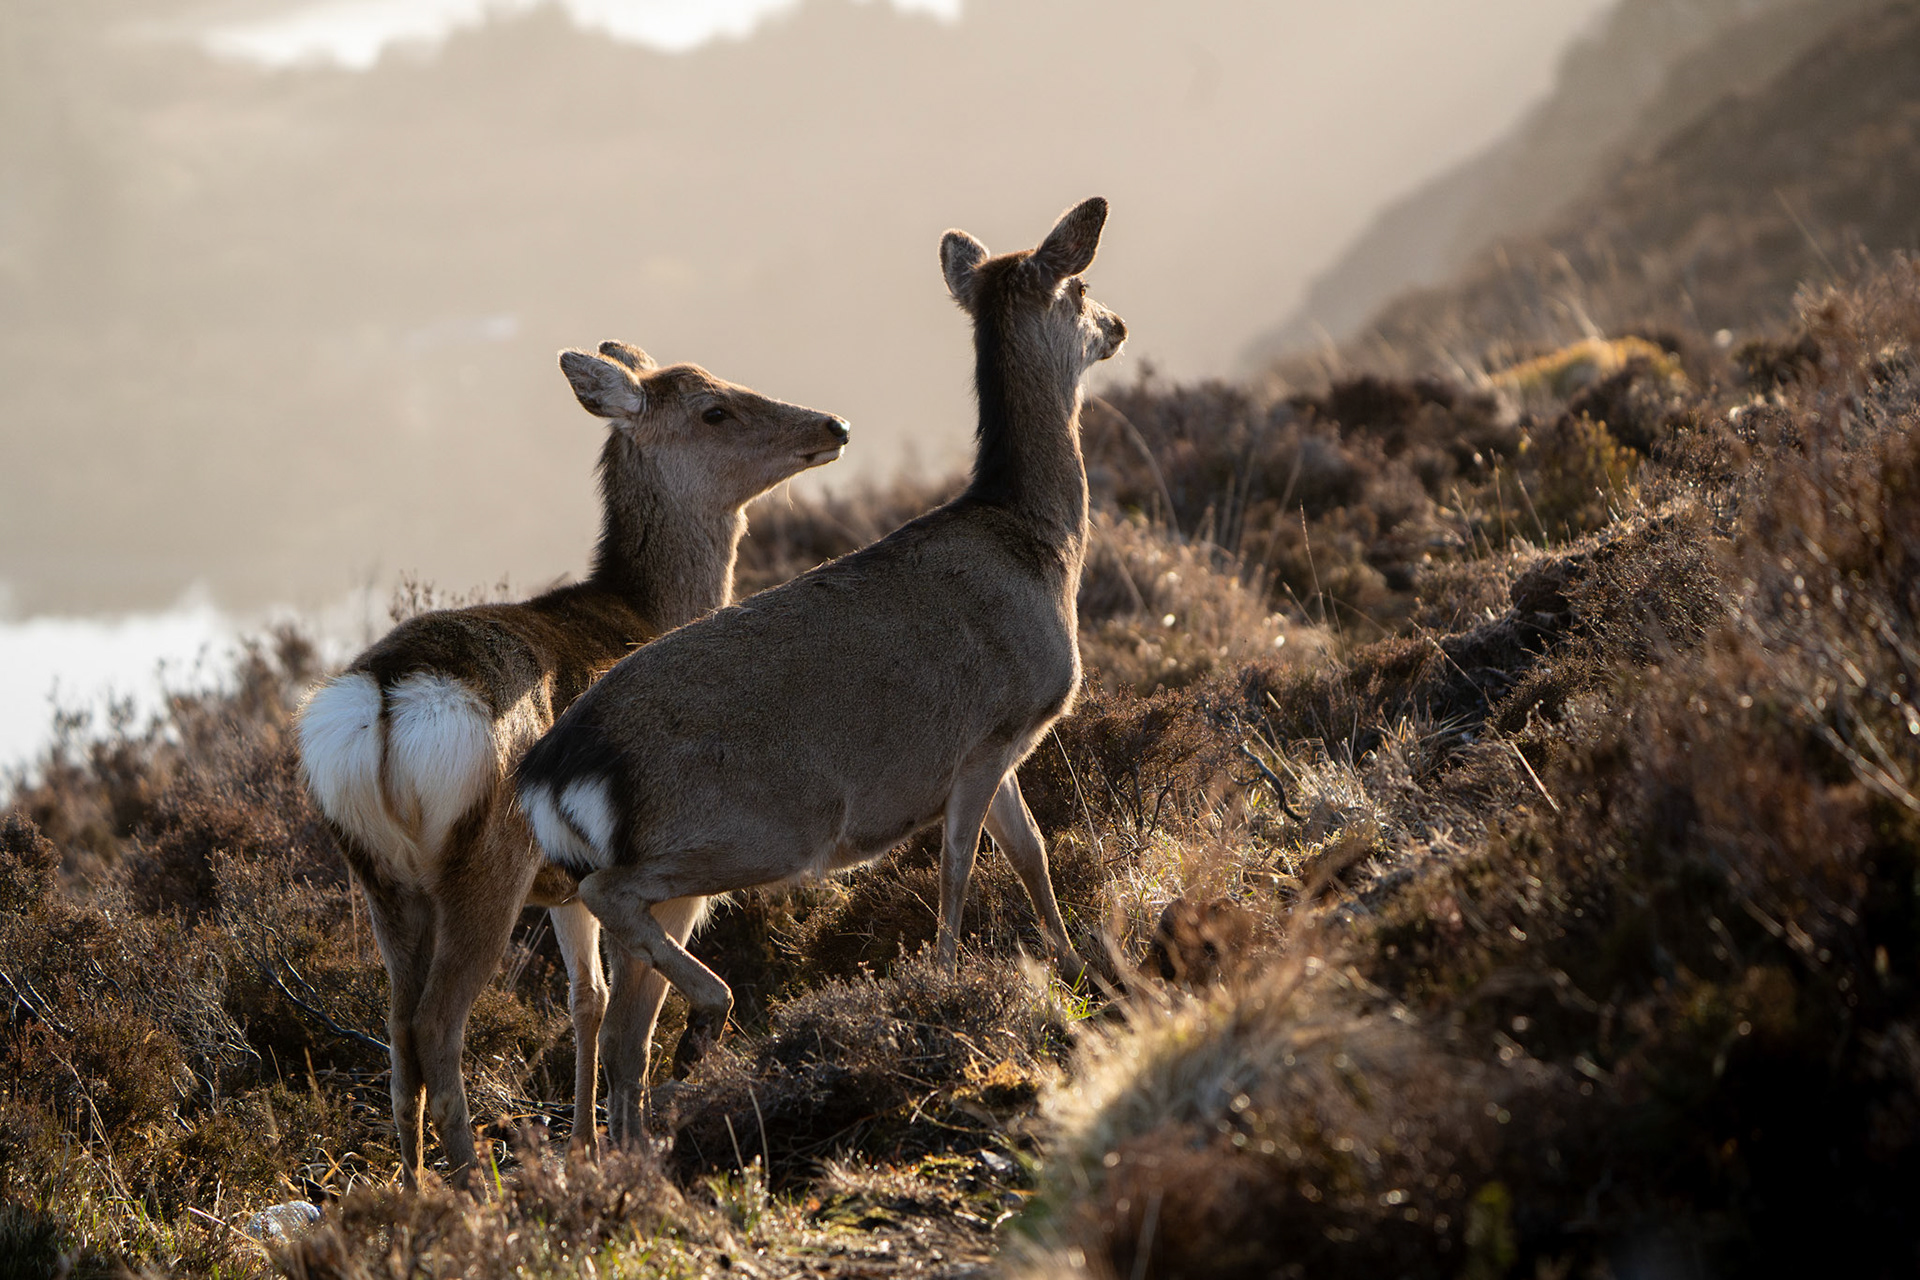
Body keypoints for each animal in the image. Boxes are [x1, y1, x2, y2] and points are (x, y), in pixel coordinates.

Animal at [294, 342, 849, 1189]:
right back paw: (474, 1187)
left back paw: (415, 1188)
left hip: (380, 874)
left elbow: (584, 998)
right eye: (714, 409)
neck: (648, 610)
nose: (832, 425)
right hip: (486, 861)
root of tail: (386, 699)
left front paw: (584, 1145)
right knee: (437, 1024)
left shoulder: (566, 885)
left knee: (397, 1034)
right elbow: (631, 1020)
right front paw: (623, 1146)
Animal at [514, 198, 1123, 1141]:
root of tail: (550, 772)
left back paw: (640, 1140)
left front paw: (1067, 962)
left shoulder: (1001, 744)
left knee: (621, 1027)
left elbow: (1031, 853)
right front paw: (947, 980)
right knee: (620, 909)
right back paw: (710, 1019)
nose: (1120, 325)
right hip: (758, 824)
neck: (1039, 547)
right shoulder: (991, 730)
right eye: (1084, 288)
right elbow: (960, 862)